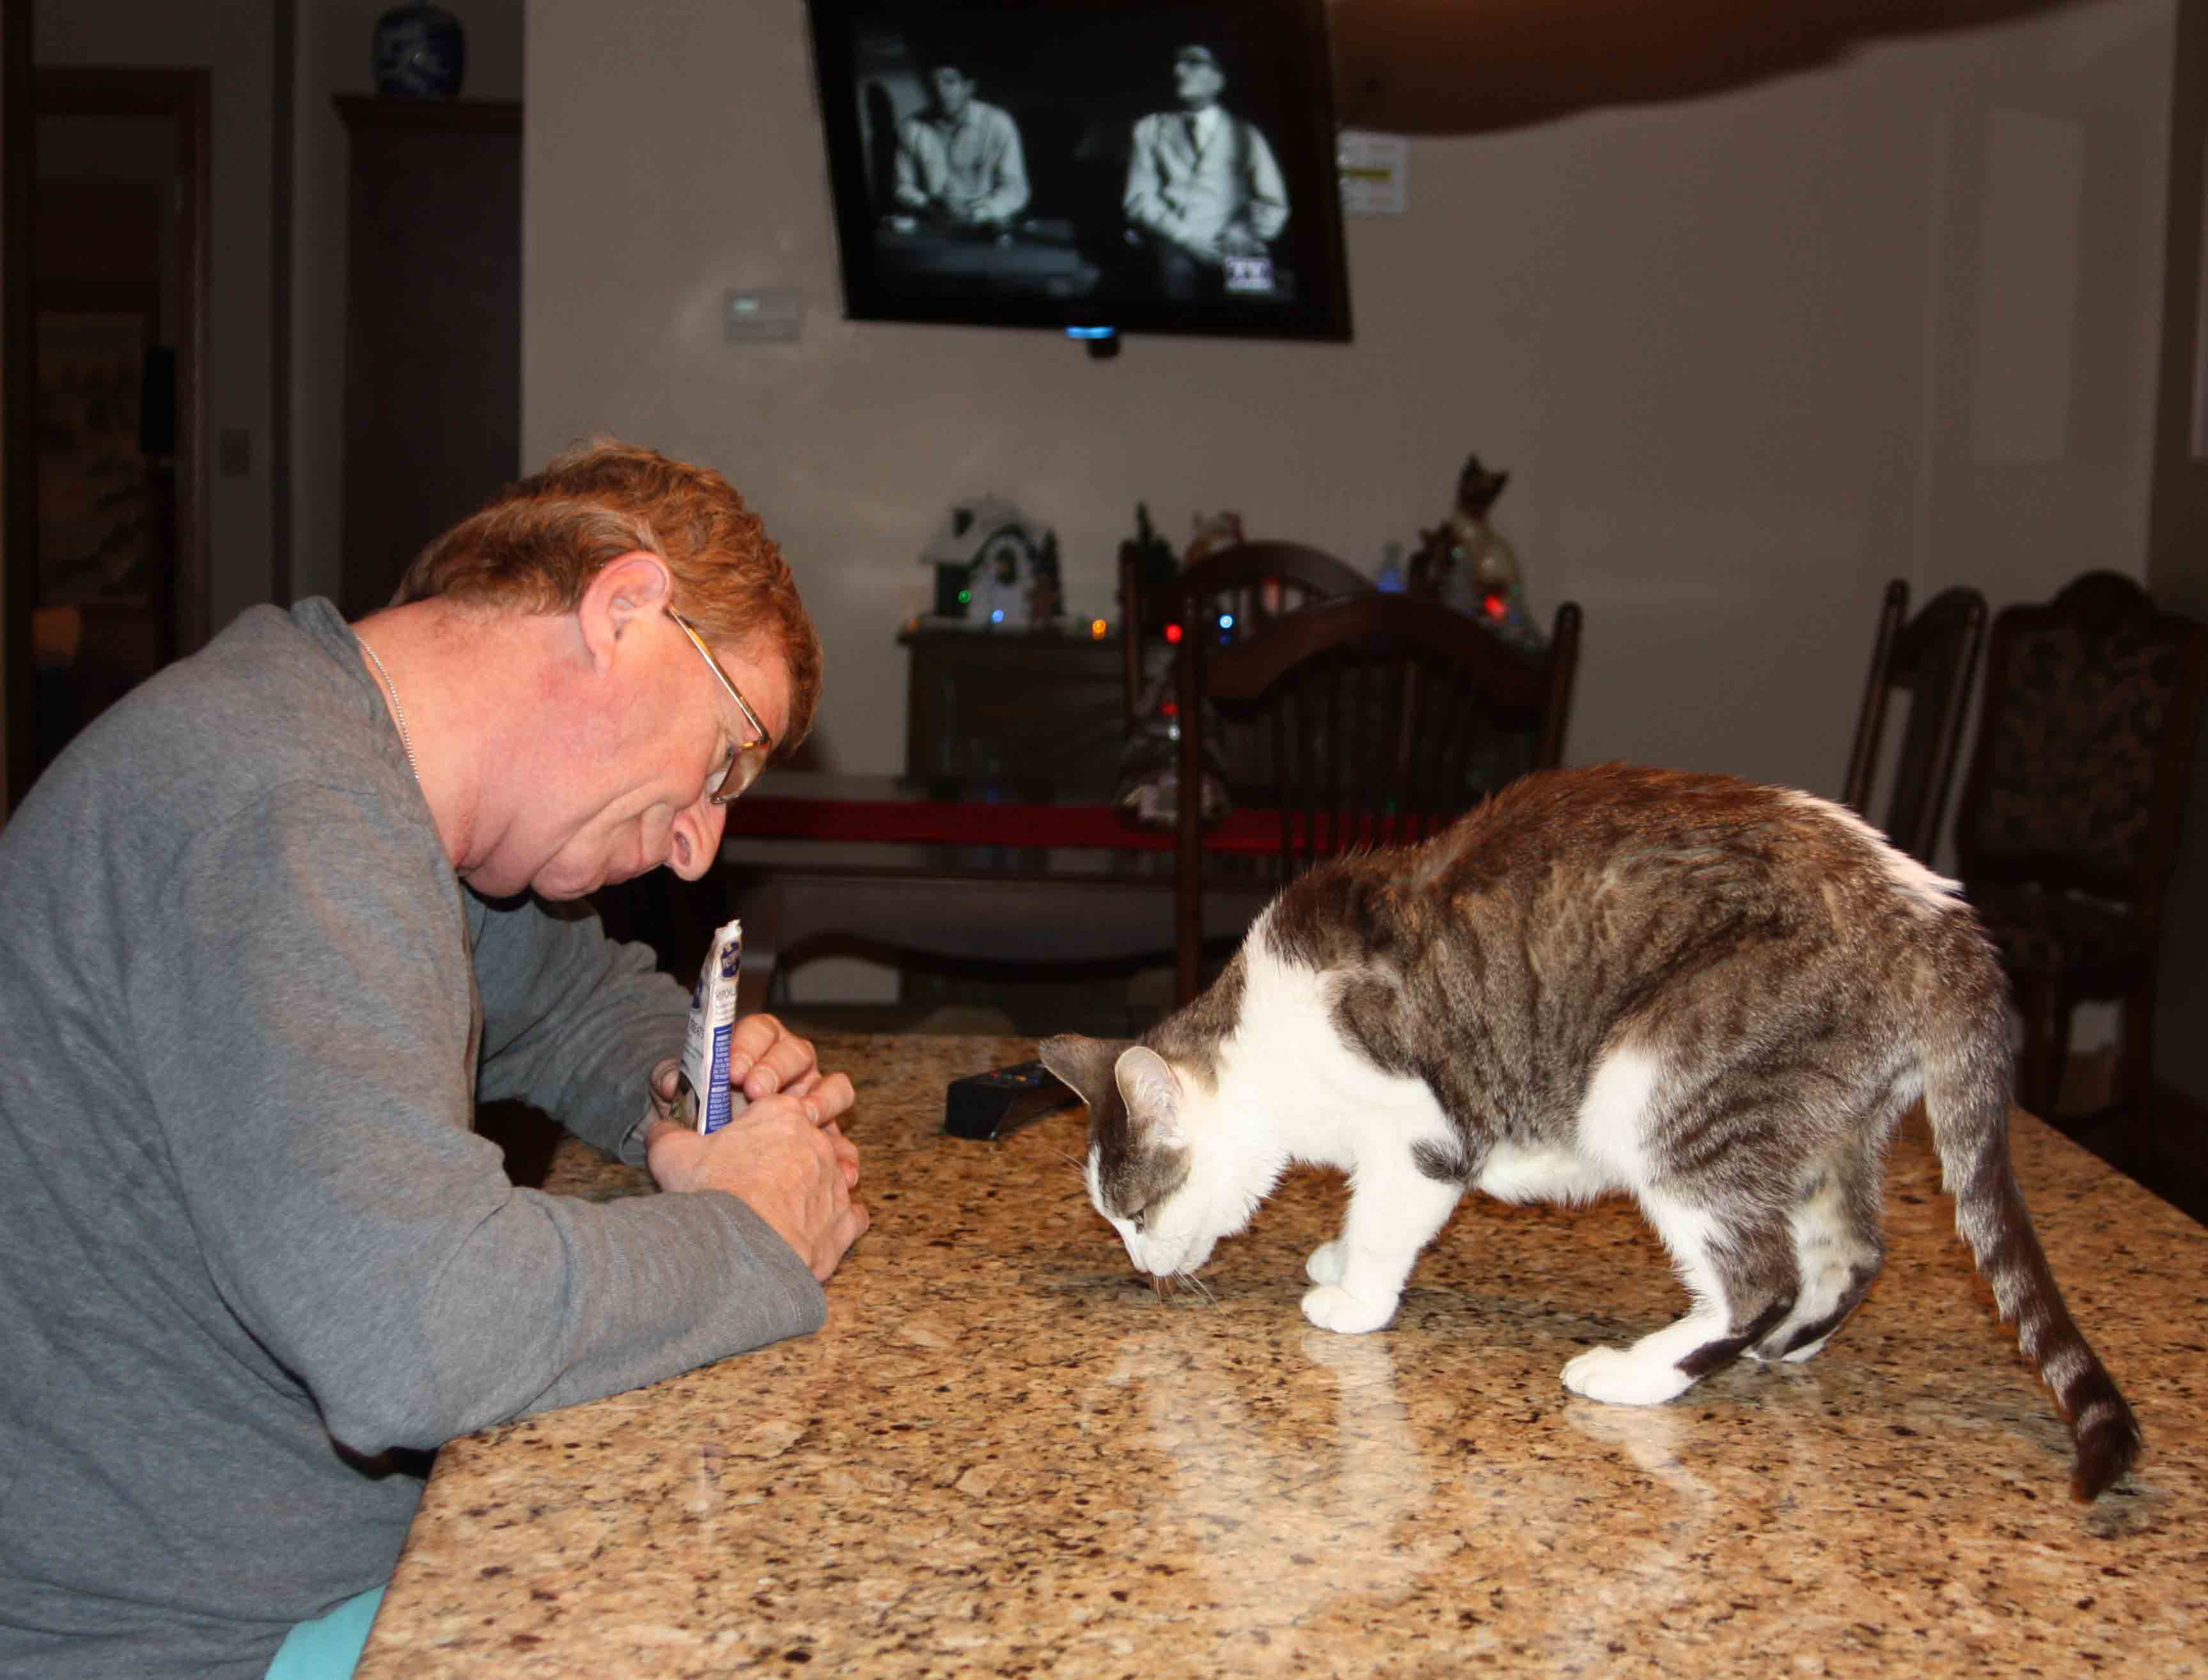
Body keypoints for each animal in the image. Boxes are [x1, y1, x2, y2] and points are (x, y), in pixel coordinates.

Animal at [1042, 768, 2146, 1501]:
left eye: (1135, 1211)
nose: (1138, 1269)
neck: (1269, 1045)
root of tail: (1934, 913)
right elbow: (1361, 1215)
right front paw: (1337, 1258)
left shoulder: (1424, 1133)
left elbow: (1389, 1220)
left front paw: (1353, 1297)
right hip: (1817, 1129)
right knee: (1850, 1255)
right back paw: (1782, 1348)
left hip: (1660, 1089)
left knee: (1758, 1276)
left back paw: (1635, 1373)